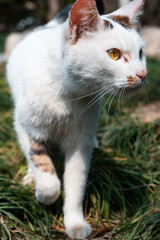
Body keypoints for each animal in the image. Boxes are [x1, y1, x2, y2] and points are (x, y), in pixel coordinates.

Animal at [7, 0, 148, 238]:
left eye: (140, 53)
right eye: (113, 53)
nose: (143, 74)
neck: (69, 94)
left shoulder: (80, 141)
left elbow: (76, 182)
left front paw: (74, 223)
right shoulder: (27, 125)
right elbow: (44, 171)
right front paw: (43, 194)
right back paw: (30, 177)